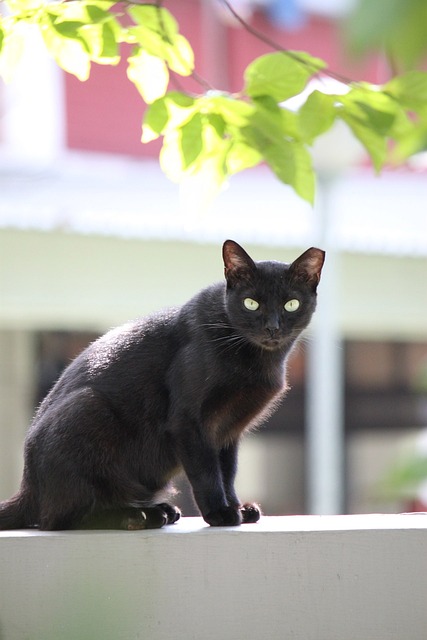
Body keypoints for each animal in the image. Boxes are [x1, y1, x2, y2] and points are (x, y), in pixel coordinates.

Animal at [0, 240, 324, 528]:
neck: (256, 360)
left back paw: (160, 511)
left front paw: (237, 507)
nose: (272, 328)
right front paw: (220, 513)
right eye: (251, 303)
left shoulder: (228, 431)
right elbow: (206, 472)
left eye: (291, 304)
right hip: (86, 408)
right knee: (60, 519)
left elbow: (227, 472)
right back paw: (136, 517)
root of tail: (28, 488)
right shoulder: (188, 422)